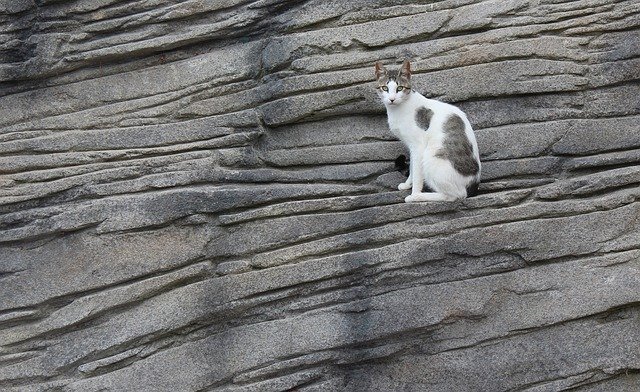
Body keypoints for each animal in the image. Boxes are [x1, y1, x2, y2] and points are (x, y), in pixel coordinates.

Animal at [376, 60, 480, 202]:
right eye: (385, 88)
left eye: (400, 88)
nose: (392, 99)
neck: (397, 110)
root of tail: (473, 186)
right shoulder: (411, 147)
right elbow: (412, 167)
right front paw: (407, 185)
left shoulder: (418, 146)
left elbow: (417, 174)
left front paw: (414, 193)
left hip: (432, 156)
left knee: (455, 195)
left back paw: (419, 196)